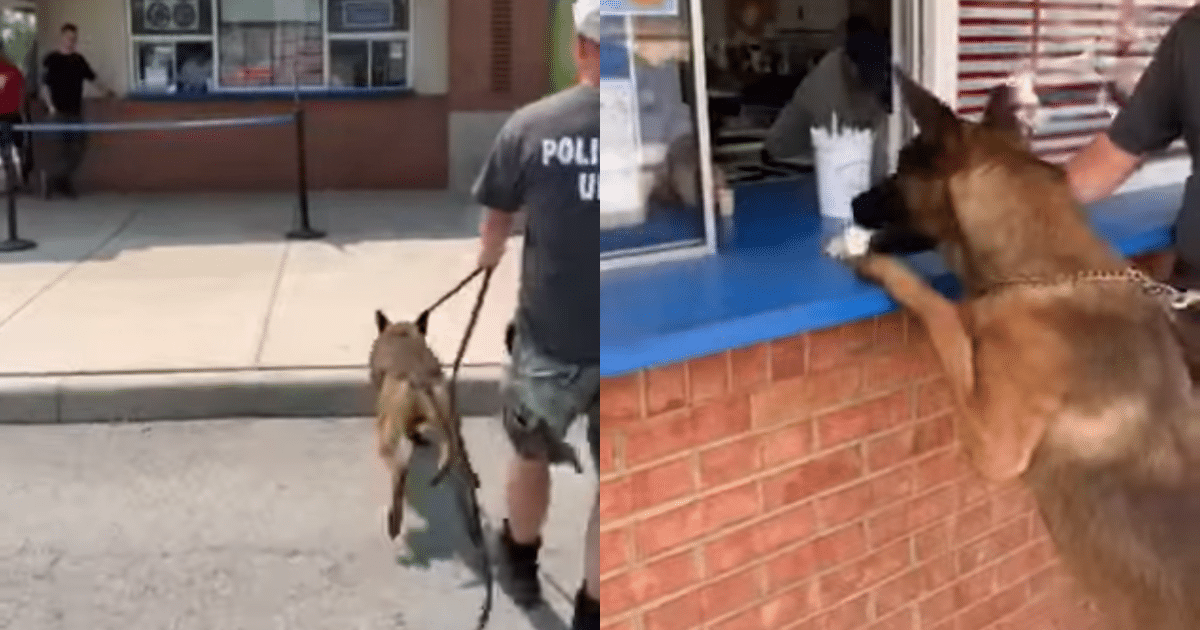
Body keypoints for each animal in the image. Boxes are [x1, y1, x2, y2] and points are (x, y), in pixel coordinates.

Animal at [369, 309, 468, 540]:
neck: (403, 332)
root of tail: (420, 381)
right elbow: (413, 428)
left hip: (387, 435)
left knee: (399, 471)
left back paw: (394, 522)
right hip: (449, 417)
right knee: (455, 454)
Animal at [849, 66, 1200, 624]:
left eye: (899, 171)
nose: (852, 204)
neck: (1044, 271)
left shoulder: (994, 448)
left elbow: (942, 313)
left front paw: (878, 267)